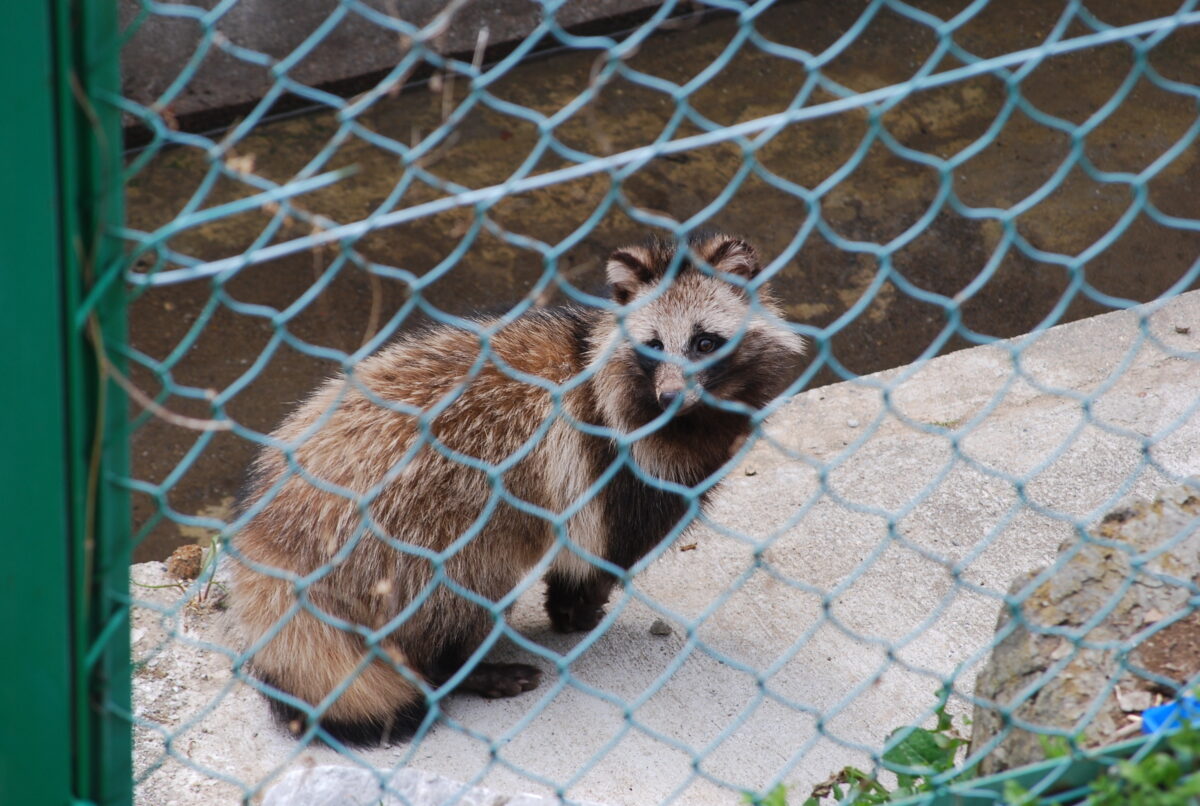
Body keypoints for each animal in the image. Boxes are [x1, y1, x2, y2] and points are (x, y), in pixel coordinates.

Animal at [228, 231, 801, 743]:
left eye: (705, 342)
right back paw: (457, 668)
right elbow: (606, 548)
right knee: (457, 593)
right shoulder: (616, 466)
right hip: (415, 534)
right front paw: (579, 607)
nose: (671, 397)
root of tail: (274, 531)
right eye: (654, 346)